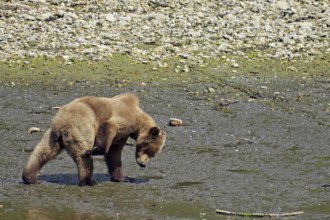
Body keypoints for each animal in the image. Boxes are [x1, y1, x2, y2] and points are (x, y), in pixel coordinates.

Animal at [21, 93, 165, 186]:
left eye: (152, 155)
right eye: (148, 150)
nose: (143, 164)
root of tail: (59, 122)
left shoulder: (121, 135)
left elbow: (114, 154)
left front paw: (123, 178)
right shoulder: (124, 120)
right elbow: (109, 128)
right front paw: (96, 150)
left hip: (51, 136)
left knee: (41, 153)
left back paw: (30, 178)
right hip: (80, 126)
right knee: (82, 156)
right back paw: (88, 180)